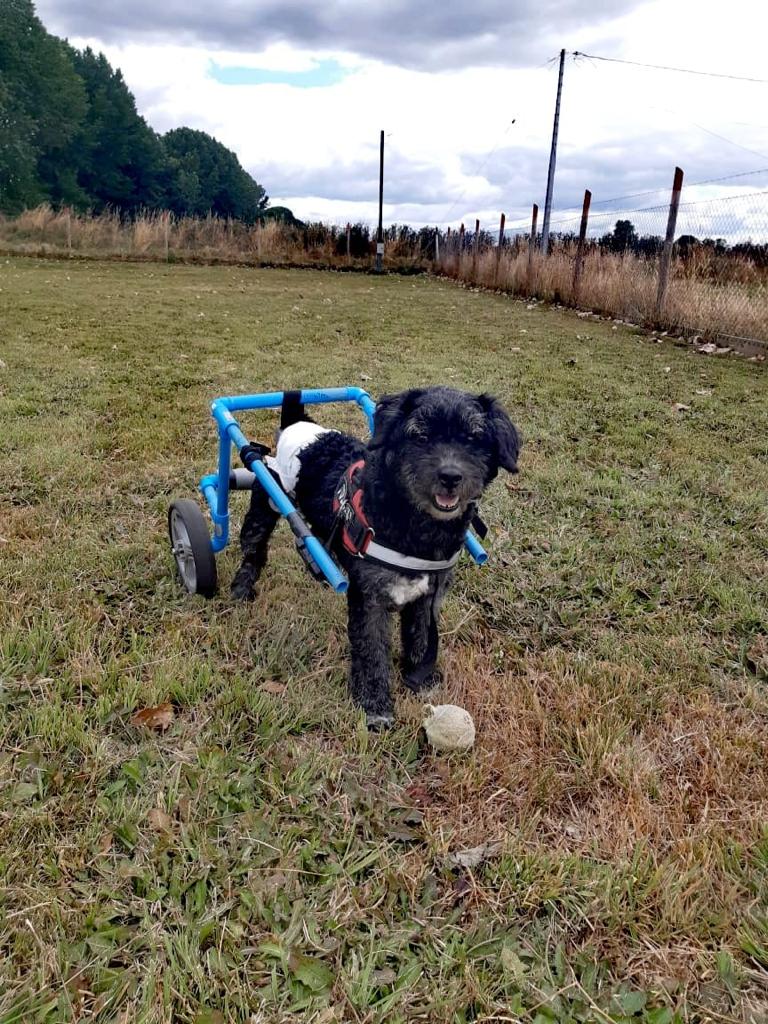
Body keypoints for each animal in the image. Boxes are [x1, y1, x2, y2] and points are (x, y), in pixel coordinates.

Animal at [232, 387, 520, 728]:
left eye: (474, 438)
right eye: (420, 435)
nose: (450, 476)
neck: (414, 530)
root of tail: (299, 423)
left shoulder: (426, 597)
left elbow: (421, 640)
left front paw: (420, 679)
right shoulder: (369, 598)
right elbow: (372, 651)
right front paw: (375, 705)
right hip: (266, 499)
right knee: (253, 546)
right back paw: (241, 588)